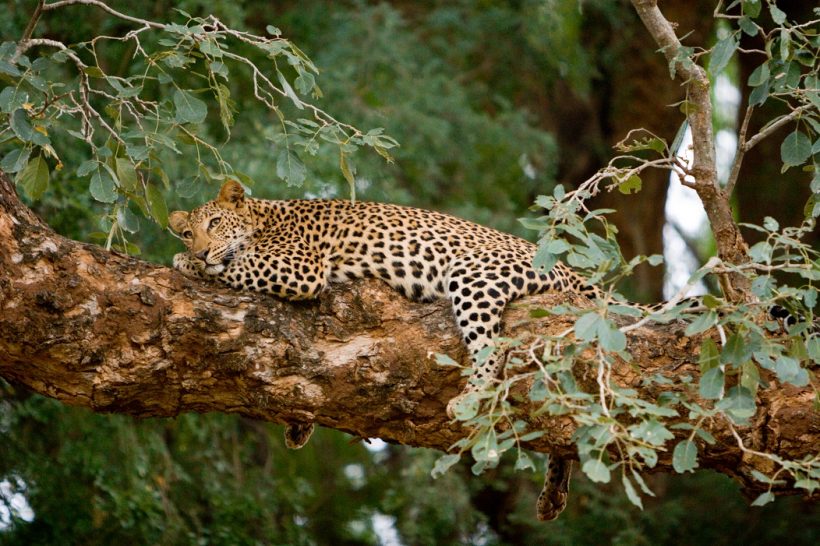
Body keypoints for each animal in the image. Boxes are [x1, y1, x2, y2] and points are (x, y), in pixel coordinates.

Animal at [169, 180, 606, 521]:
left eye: (214, 223)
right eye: (188, 232)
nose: (199, 250)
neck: (263, 218)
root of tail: (568, 268)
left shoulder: (301, 268)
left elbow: (236, 265)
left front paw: (187, 263)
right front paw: (298, 427)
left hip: (475, 275)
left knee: (491, 348)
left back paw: (468, 399)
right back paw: (553, 494)